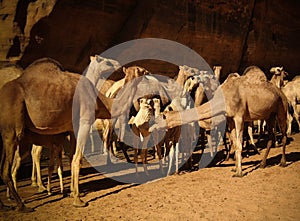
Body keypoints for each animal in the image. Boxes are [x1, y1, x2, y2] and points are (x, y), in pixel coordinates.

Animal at [0, 57, 143, 212]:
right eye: (142, 70)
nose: (118, 64)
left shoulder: (72, 129)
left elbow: (72, 157)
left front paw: (72, 192)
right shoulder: (85, 121)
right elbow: (77, 160)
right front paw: (77, 199)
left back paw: (7, 203)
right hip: (13, 130)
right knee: (9, 167)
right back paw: (23, 204)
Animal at [150, 66, 288, 178]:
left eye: (158, 120)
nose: (149, 128)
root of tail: (281, 91)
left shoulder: (239, 117)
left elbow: (238, 144)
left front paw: (239, 172)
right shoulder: (230, 119)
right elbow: (235, 143)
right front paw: (235, 169)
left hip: (281, 108)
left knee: (284, 134)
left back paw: (283, 162)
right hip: (270, 115)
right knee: (270, 137)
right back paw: (263, 164)